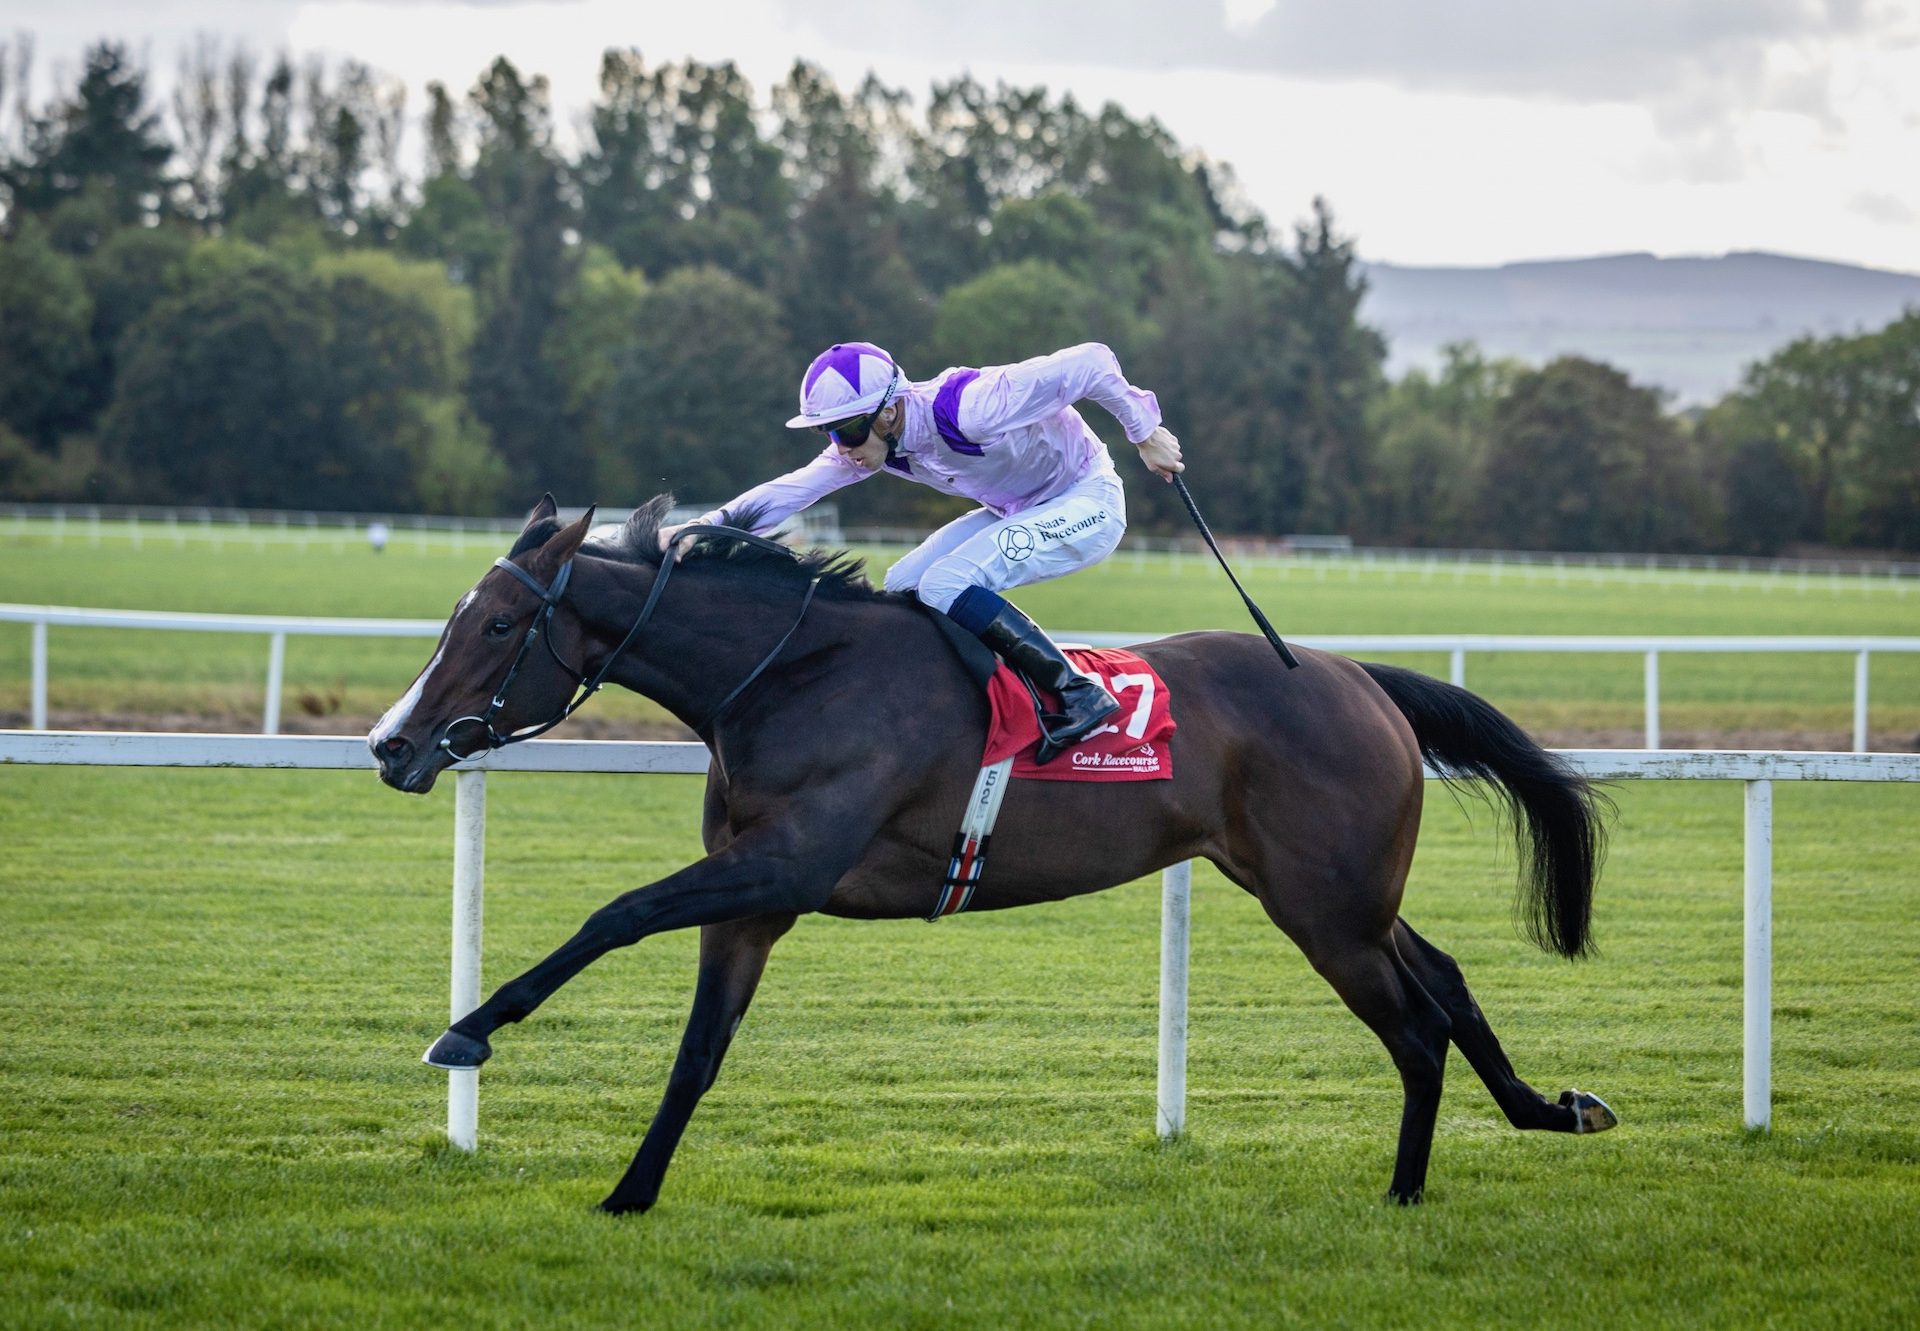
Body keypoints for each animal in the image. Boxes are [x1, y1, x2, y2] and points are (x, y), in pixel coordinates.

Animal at [366, 491, 1612, 1206]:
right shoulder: (754, 897)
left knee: (1414, 1026)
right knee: (1445, 981)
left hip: (1326, 909)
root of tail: (1363, 678)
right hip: (1336, 891)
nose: (391, 743)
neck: (791, 673)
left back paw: (1406, 1191)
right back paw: (1551, 1109)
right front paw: (630, 1191)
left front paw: (468, 1029)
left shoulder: (788, 862)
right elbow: (697, 1053)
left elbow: (613, 912)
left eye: (494, 623)